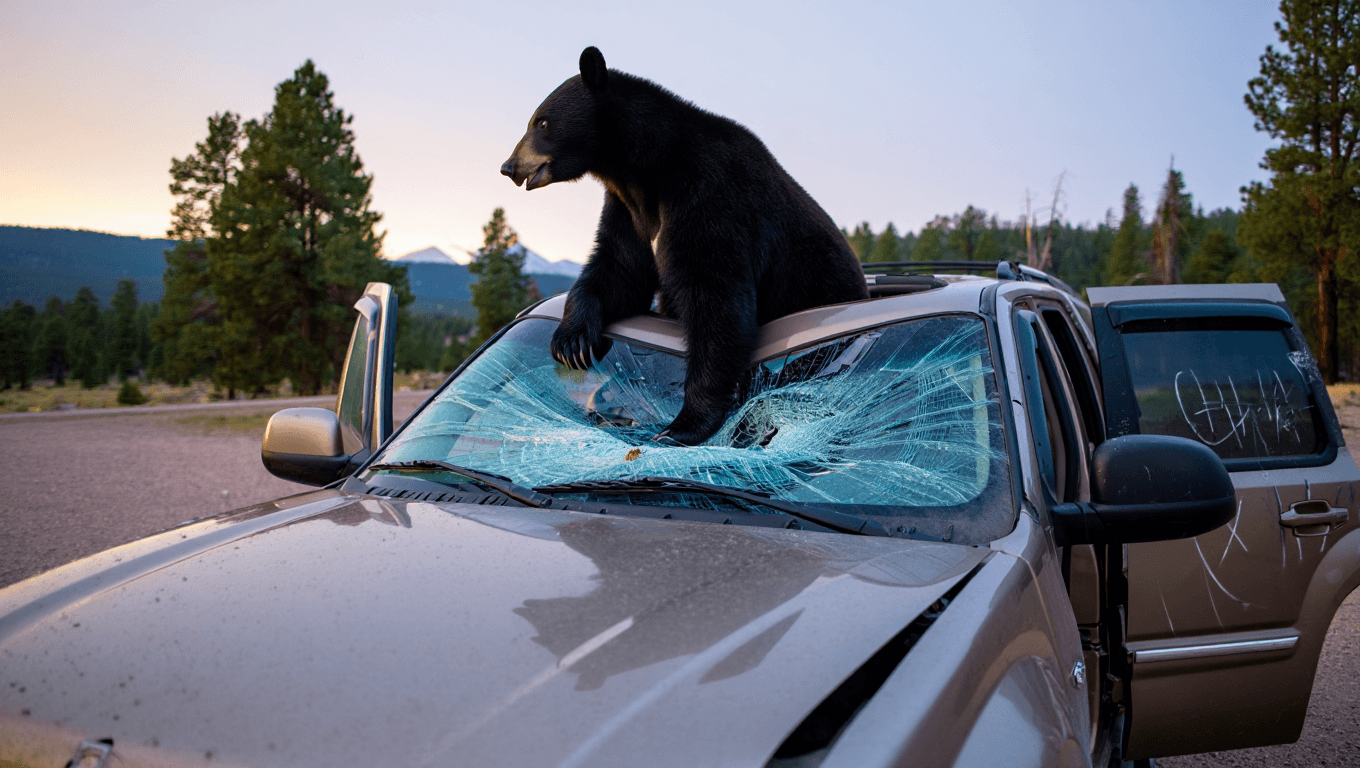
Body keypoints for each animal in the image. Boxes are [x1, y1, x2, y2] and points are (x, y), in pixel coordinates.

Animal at [501, 46, 869, 446]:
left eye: (541, 123)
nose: (509, 166)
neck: (645, 168)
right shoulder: (629, 212)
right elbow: (620, 268)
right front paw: (572, 342)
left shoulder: (710, 195)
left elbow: (715, 298)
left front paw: (684, 424)